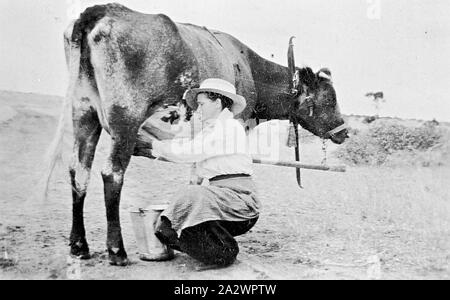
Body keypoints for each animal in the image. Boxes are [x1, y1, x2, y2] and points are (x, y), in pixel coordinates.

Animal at [46, 2, 348, 264]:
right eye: (330, 99)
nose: (344, 132)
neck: (248, 68)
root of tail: (103, 10)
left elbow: (194, 174)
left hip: (84, 113)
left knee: (79, 172)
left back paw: (79, 246)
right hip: (125, 119)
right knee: (112, 174)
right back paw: (116, 251)